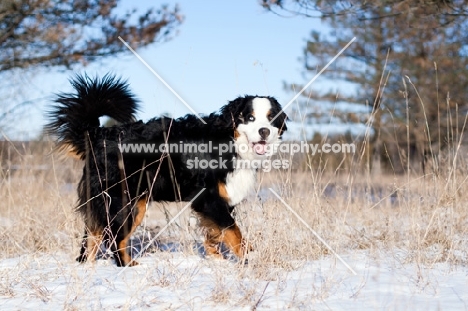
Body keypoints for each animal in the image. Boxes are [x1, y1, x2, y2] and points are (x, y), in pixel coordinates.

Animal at [47, 74, 288, 266]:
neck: (230, 141)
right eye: (250, 118)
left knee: (93, 236)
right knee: (114, 237)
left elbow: (216, 231)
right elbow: (232, 229)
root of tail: (98, 134)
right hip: (123, 202)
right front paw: (249, 255)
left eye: (272, 119)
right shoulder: (208, 197)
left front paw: (214, 255)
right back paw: (128, 266)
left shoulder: (222, 199)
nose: (264, 131)